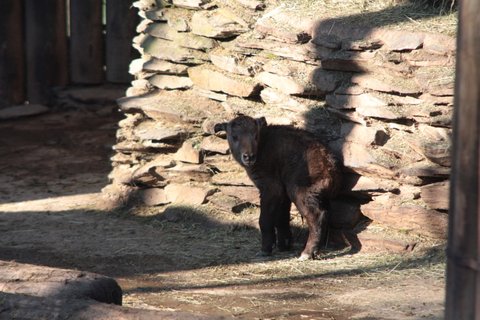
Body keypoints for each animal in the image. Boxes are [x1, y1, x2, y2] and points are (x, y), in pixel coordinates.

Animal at [216, 115, 340, 260]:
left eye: (256, 135)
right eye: (234, 136)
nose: (249, 157)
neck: (263, 146)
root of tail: (330, 166)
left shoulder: (271, 188)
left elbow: (265, 220)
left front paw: (265, 249)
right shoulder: (282, 191)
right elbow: (282, 217)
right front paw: (284, 245)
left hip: (300, 192)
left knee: (316, 216)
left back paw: (307, 252)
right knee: (325, 215)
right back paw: (316, 250)